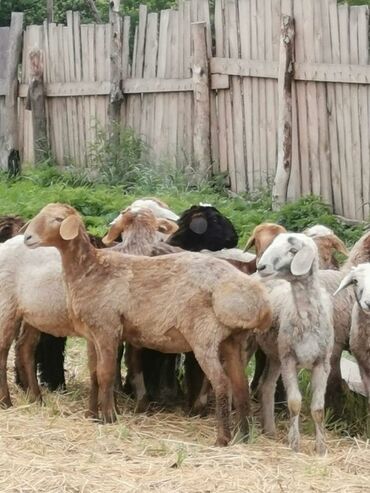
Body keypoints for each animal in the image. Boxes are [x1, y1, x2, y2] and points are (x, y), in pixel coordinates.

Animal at [23, 202, 272, 444]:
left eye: (57, 219)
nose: (27, 237)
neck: (90, 268)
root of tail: (254, 297)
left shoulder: (107, 330)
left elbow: (105, 373)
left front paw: (109, 417)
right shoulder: (92, 334)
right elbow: (94, 374)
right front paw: (91, 415)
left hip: (204, 337)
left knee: (221, 383)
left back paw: (222, 439)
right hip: (232, 340)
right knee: (240, 385)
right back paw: (243, 436)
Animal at [256, 233, 334, 456]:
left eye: (292, 251)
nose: (261, 266)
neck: (306, 317)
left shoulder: (322, 363)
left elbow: (318, 408)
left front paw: (321, 448)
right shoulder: (289, 360)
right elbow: (294, 403)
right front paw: (294, 445)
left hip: (275, 355)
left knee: (266, 386)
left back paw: (270, 431)